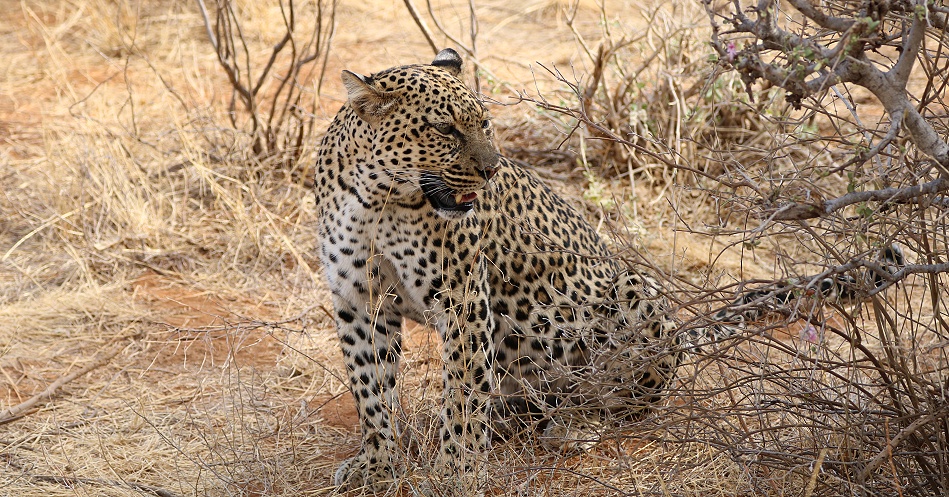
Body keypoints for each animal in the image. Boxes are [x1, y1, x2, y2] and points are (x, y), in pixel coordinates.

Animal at [313, 48, 905, 495]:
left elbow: (460, 398)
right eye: (443, 130)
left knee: (624, 401)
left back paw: (576, 424)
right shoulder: (359, 300)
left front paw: (456, 473)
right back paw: (513, 416)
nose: (490, 169)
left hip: (635, 295)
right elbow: (371, 390)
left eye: (483, 123)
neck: (379, 200)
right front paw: (379, 464)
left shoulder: (461, 301)